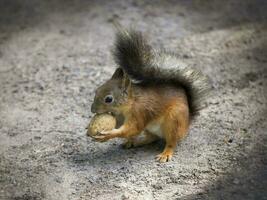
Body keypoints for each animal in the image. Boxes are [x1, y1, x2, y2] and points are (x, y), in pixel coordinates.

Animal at [92, 28, 211, 162]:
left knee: (172, 142)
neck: (130, 103)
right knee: (152, 138)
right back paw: (135, 142)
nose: (93, 110)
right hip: (151, 128)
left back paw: (165, 153)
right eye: (97, 90)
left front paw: (109, 134)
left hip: (174, 120)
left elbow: (132, 128)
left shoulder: (140, 112)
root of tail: (187, 124)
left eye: (108, 99)